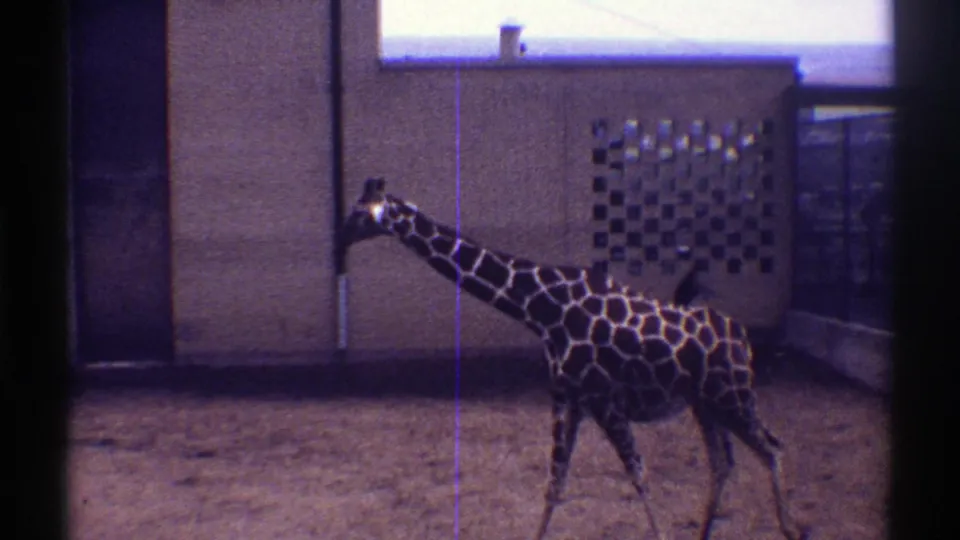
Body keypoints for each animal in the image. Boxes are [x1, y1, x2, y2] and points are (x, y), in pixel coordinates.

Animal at [341, 178, 810, 540]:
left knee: (772, 447)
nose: (339, 241)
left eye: (361, 213)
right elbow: (555, 485)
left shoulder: (603, 400)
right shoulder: (568, 398)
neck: (541, 308)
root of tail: (742, 338)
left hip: (733, 397)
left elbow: (639, 478)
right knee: (724, 463)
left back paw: (793, 528)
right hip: (706, 404)